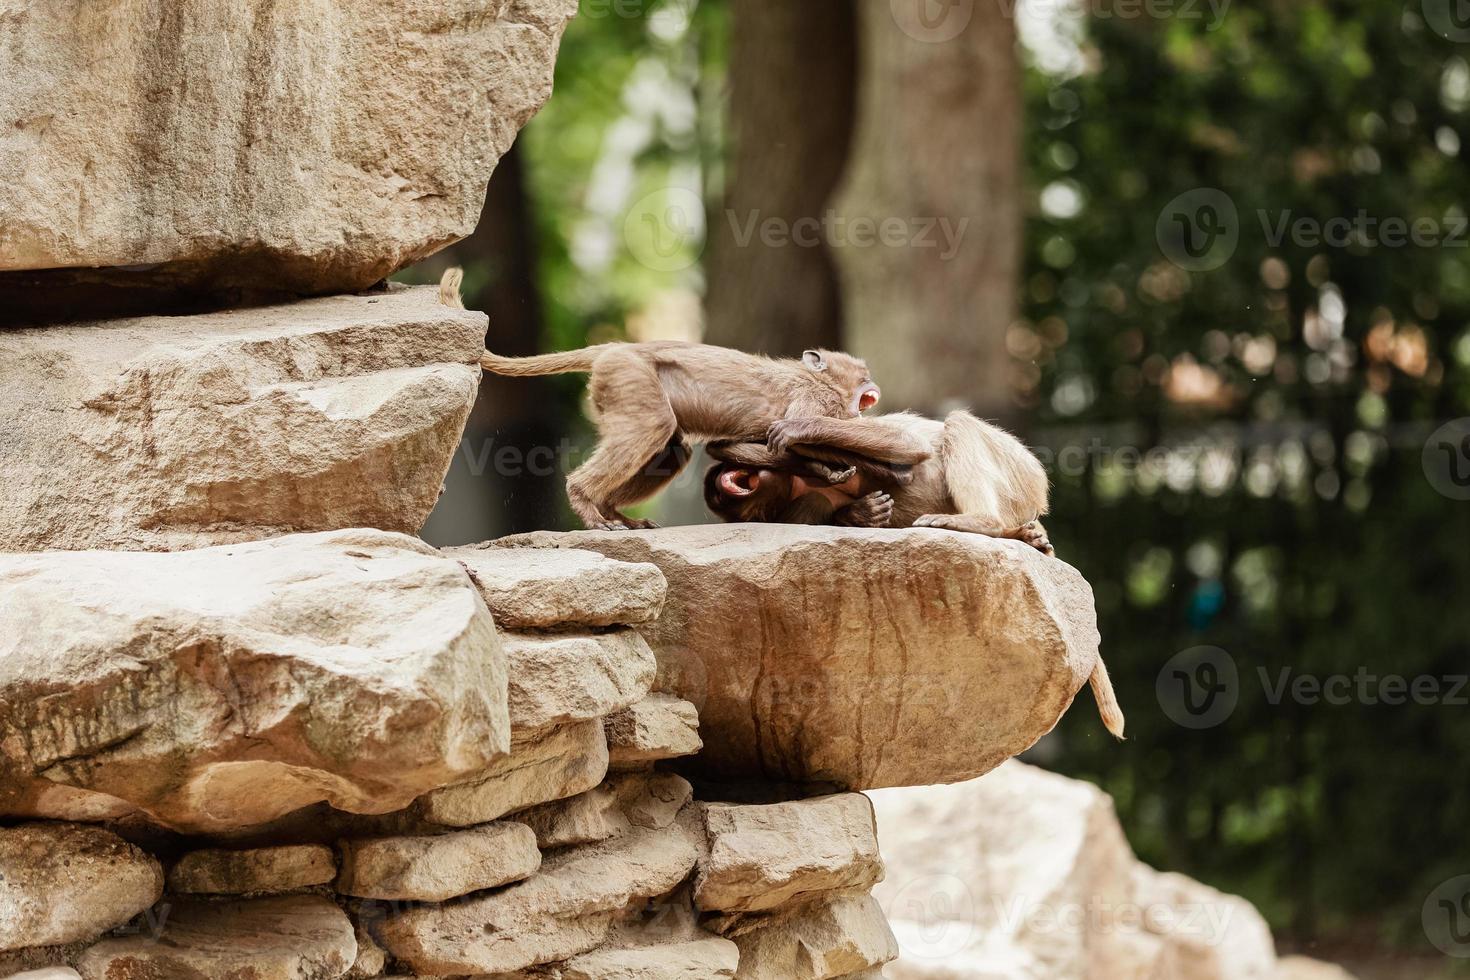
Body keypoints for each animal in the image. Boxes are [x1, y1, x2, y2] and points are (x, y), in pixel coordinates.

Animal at [705, 411, 1128, 740]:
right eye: (759, 514)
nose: (764, 512)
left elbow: (904, 445)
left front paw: (799, 431)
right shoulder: (807, 500)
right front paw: (859, 514)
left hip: (1022, 474)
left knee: (955, 426)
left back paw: (986, 523)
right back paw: (1021, 535)